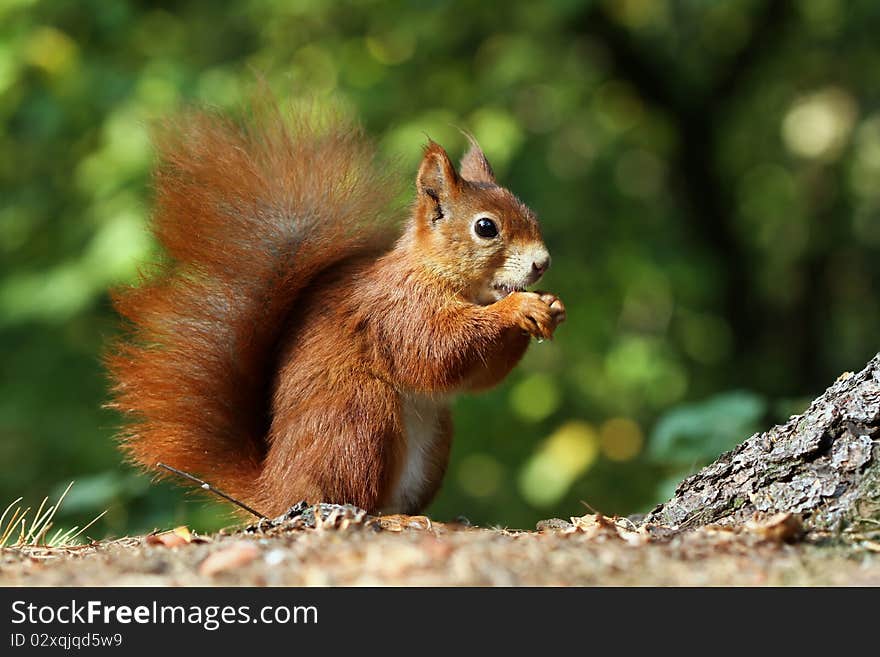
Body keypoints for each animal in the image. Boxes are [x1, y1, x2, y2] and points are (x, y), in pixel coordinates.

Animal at [108, 106, 564, 516]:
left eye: (530, 213)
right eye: (486, 227)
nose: (542, 263)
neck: (439, 273)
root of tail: (275, 492)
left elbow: (477, 374)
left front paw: (551, 307)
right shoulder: (397, 309)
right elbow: (438, 348)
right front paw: (518, 307)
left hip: (432, 438)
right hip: (358, 417)